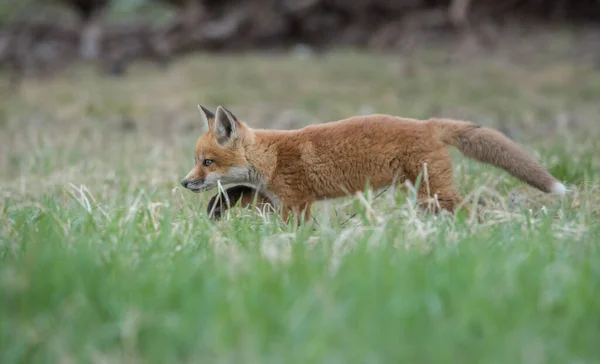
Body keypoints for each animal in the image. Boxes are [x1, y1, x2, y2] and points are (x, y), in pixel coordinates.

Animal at [183, 104, 568, 225]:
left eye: (207, 162)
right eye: (197, 162)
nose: (184, 183)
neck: (271, 159)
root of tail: (427, 123)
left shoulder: (295, 202)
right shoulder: (270, 196)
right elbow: (237, 191)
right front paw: (217, 207)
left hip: (434, 194)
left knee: (472, 210)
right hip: (425, 196)